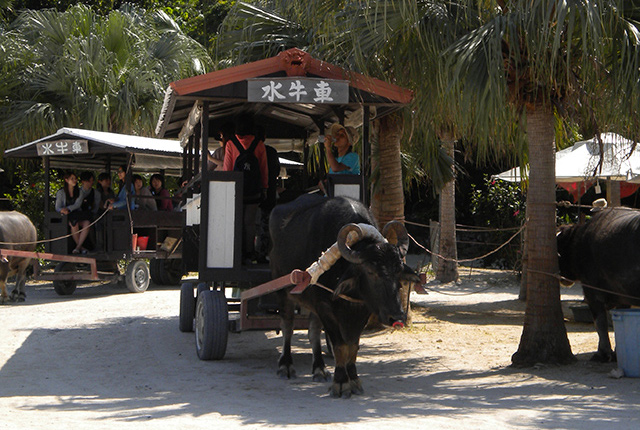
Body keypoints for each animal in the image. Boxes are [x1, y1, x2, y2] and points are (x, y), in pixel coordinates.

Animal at [268, 194, 420, 396]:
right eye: (371, 271)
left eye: (398, 271)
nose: (396, 317)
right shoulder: (325, 307)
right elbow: (340, 345)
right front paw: (340, 382)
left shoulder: (363, 308)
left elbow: (352, 345)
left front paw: (353, 379)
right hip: (283, 292)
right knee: (288, 326)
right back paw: (285, 365)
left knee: (313, 332)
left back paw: (319, 368)